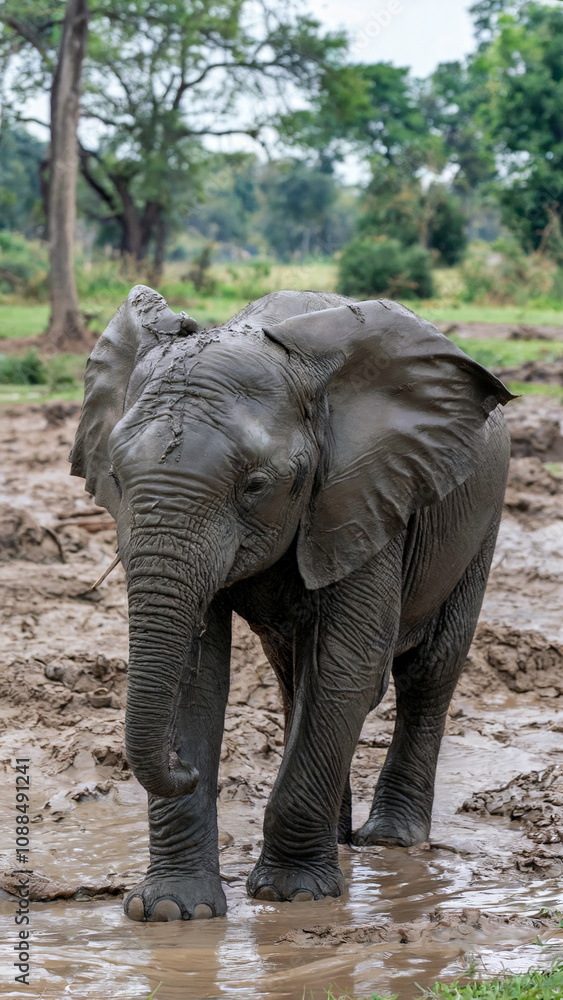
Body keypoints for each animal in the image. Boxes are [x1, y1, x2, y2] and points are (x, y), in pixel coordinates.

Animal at [70, 285, 513, 922]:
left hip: (480, 516)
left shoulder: (366, 493)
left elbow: (347, 671)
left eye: (256, 486)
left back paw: (390, 842)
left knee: (428, 669)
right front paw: (172, 912)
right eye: (118, 479)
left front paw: (293, 896)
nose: (184, 769)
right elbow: (197, 678)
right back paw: (341, 840)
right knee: (290, 673)